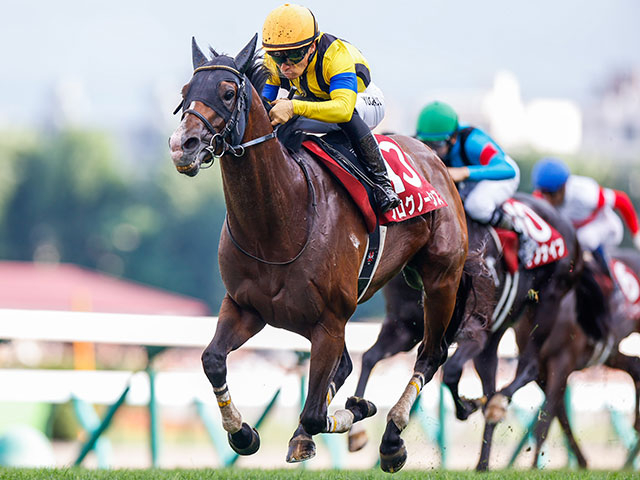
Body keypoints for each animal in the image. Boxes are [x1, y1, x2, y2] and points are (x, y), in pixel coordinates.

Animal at [169, 34, 470, 472]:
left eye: (227, 93)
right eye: (185, 93)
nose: (183, 146)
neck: (279, 223)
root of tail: (434, 158)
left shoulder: (329, 322)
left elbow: (315, 411)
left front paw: (355, 412)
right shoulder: (245, 307)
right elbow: (212, 360)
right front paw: (243, 433)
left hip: (440, 281)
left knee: (430, 356)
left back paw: (392, 439)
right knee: (353, 364)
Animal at [348, 192, 584, 468]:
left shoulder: (473, 332)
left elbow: (450, 370)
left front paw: (465, 407)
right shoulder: (404, 328)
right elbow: (369, 358)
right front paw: (357, 429)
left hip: (547, 304)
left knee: (530, 366)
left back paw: (497, 405)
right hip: (494, 338)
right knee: (491, 385)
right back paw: (482, 463)